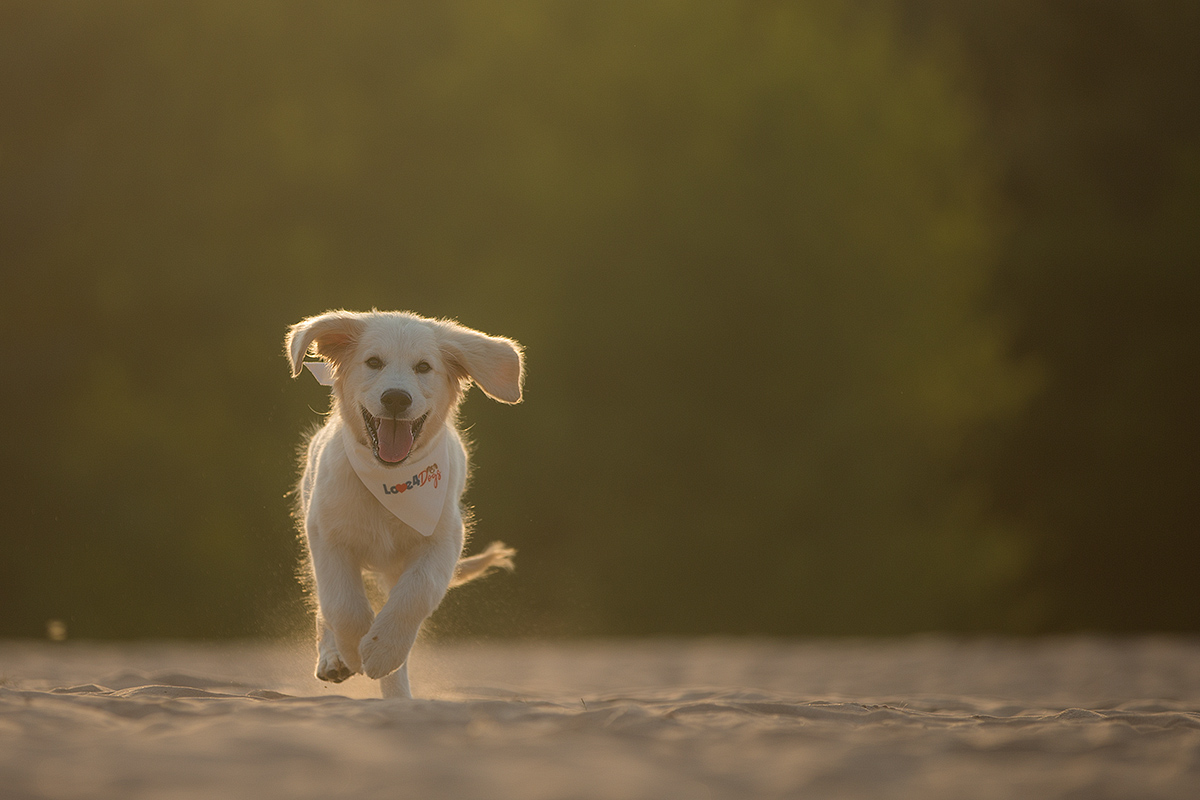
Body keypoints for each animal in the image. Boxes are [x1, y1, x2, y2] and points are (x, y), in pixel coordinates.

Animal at [288, 309, 523, 695]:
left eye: (424, 367)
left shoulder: (443, 539)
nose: (396, 398)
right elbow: (341, 602)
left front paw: (382, 651)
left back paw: (396, 693)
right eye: (373, 362)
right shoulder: (326, 533)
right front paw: (352, 650)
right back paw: (333, 658)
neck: (393, 485)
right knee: (324, 604)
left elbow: (416, 593)